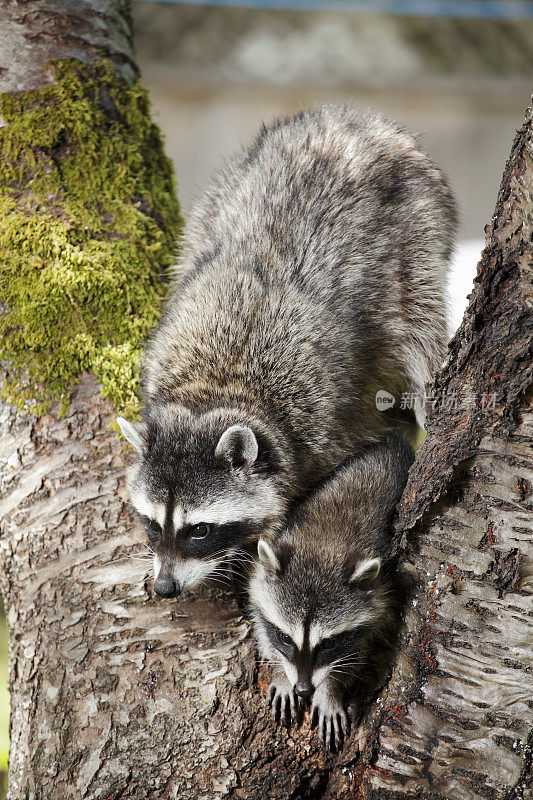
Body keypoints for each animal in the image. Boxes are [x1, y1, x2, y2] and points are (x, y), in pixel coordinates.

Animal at [118, 103, 456, 596]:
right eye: (151, 524)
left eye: (198, 530)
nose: (165, 588)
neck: (217, 391)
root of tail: (352, 117)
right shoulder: (163, 356)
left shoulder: (327, 421)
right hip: (221, 193)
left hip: (418, 236)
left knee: (420, 330)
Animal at [247, 434, 414, 752]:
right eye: (285, 638)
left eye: (328, 644)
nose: (303, 689)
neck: (324, 544)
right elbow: (262, 626)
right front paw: (280, 670)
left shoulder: (381, 591)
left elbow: (357, 652)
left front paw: (330, 688)